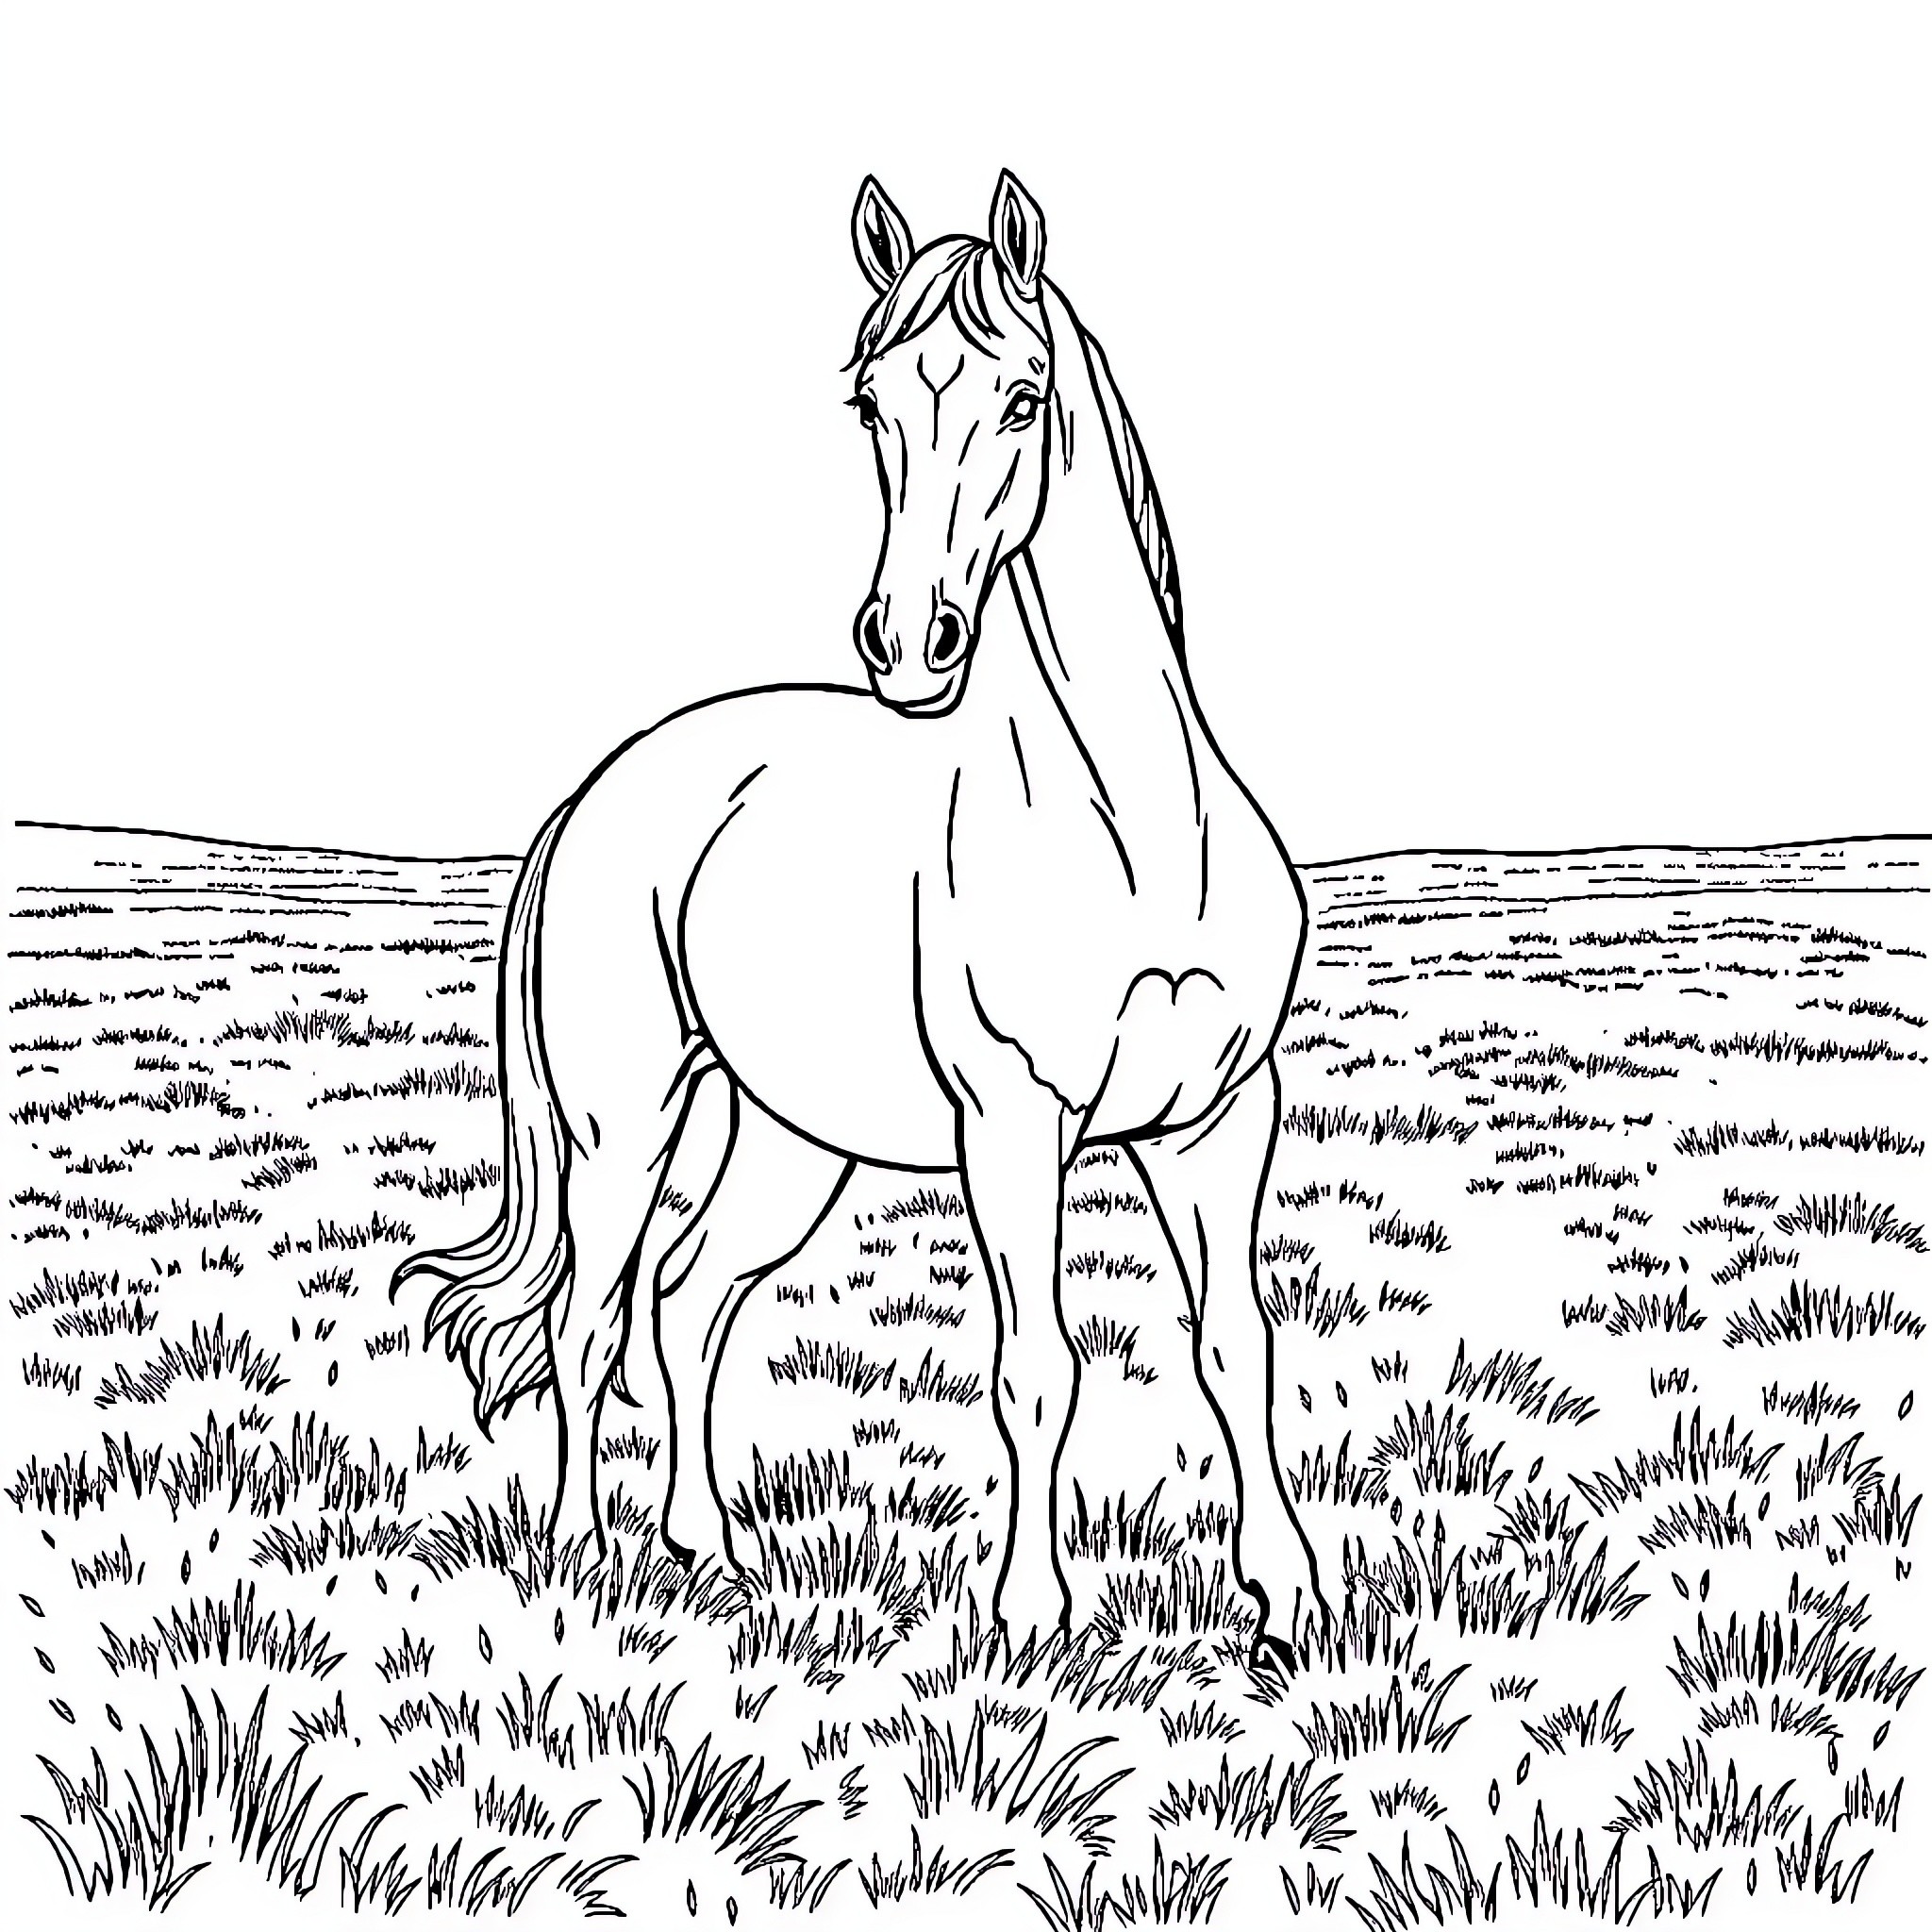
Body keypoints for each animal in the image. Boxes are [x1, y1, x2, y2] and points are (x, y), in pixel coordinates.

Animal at [393, 172, 1327, 1658]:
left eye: (1022, 396)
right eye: (871, 403)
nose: (906, 641)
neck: (1140, 833)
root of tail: (597, 794)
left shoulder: (1221, 1119)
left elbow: (1235, 1343)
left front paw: (1286, 1598)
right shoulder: (1015, 1125)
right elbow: (1035, 1367)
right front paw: (1028, 1618)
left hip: (791, 1142)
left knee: (691, 1298)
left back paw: (711, 1554)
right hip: (621, 1127)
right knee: (591, 1324)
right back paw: (581, 1555)